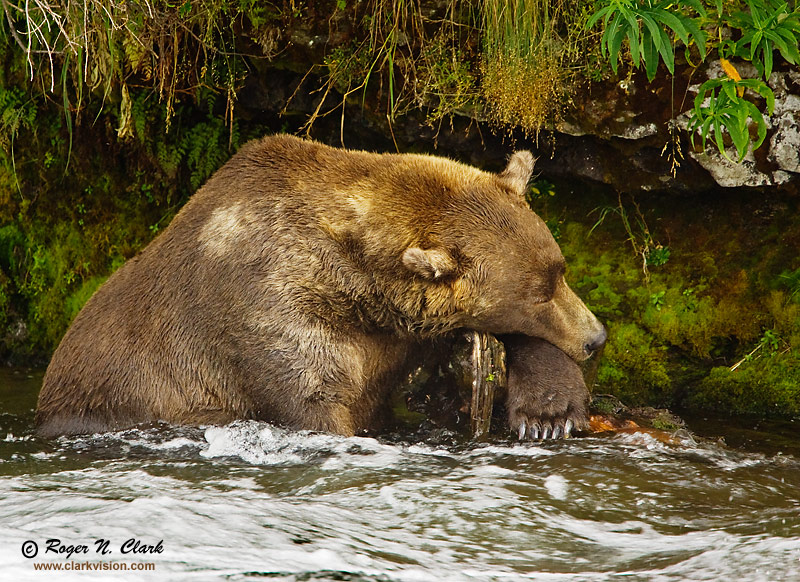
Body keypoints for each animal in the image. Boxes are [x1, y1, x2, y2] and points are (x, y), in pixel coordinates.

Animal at [34, 136, 604, 438]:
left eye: (559, 270)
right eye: (538, 292)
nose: (596, 338)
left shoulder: (396, 330)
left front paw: (548, 411)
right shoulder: (266, 306)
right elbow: (311, 396)